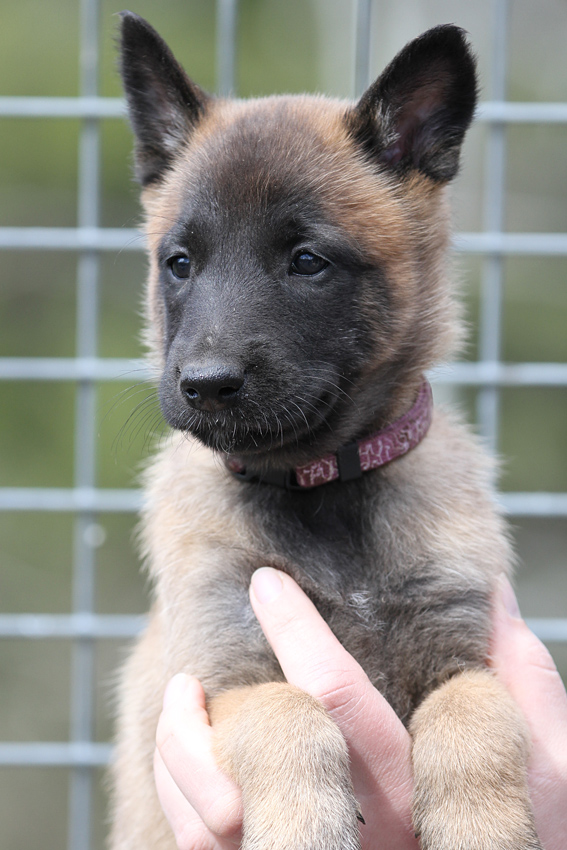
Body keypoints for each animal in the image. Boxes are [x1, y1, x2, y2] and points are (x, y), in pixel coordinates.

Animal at [110, 14, 540, 848]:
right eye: (178, 263)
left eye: (306, 261)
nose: (205, 385)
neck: (323, 487)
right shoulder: (224, 674)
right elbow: (290, 713)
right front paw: (304, 826)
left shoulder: (460, 651)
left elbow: (475, 719)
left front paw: (481, 827)